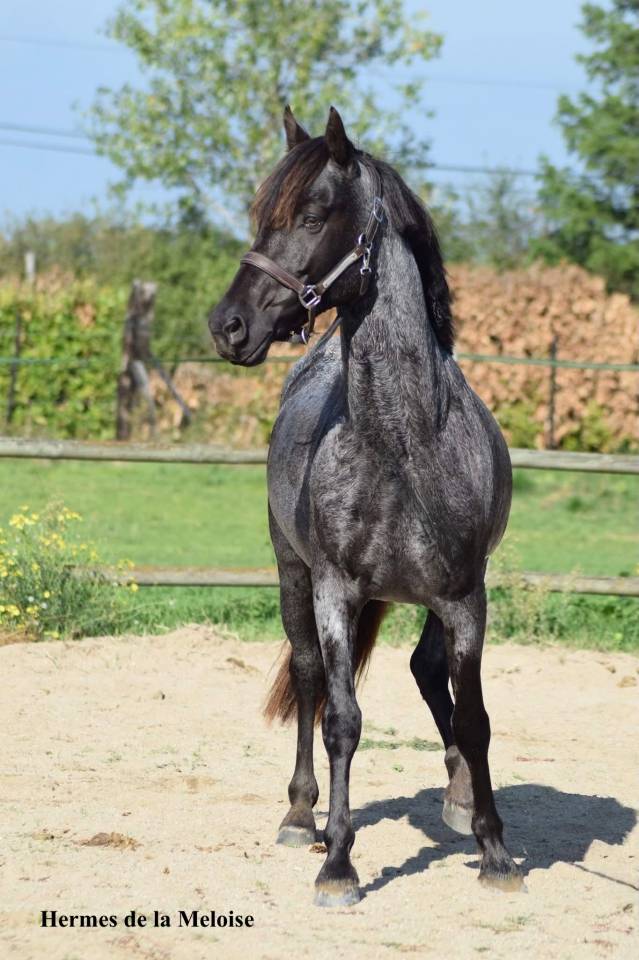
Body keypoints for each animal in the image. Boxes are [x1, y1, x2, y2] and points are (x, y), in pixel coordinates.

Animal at [209, 106, 523, 906]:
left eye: (313, 213)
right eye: (261, 216)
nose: (227, 326)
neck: (404, 446)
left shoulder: (465, 595)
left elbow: (475, 717)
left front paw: (494, 849)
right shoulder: (334, 590)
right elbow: (342, 719)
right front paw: (339, 864)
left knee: (428, 672)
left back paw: (459, 798)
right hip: (292, 575)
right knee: (311, 678)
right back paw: (301, 816)